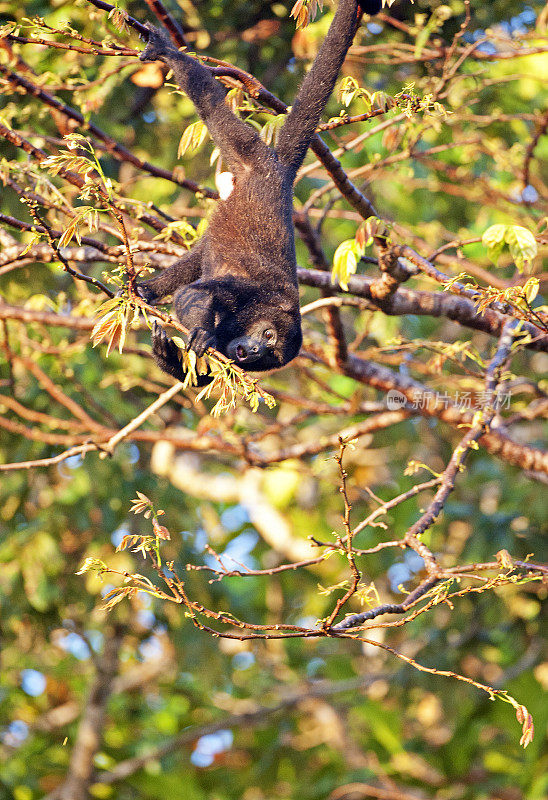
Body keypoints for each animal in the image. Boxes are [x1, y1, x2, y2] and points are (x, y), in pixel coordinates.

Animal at [136, 0, 382, 382]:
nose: (253, 351)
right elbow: (197, 293)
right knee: (212, 106)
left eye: (269, 354)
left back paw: (148, 289)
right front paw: (202, 332)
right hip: (253, 154)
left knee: (198, 256)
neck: (265, 310)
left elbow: (206, 376)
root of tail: (279, 175)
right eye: (267, 336)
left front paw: (166, 353)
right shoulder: (255, 292)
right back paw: (169, 52)